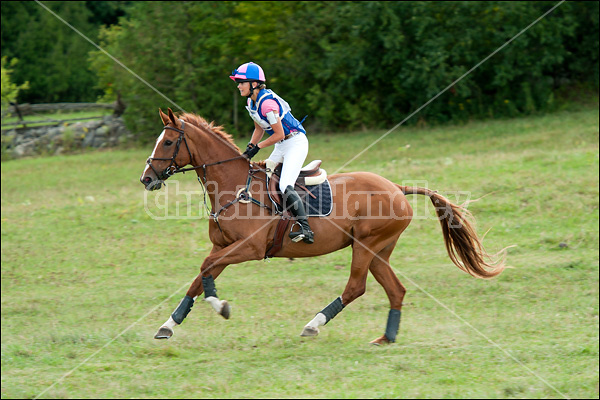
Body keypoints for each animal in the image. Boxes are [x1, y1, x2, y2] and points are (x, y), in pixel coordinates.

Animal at [141, 108, 506, 344]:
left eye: (168, 143)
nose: (147, 178)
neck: (233, 186)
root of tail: (397, 188)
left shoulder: (249, 248)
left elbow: (205, 269)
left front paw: (221, 307)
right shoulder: (223, 246)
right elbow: (199, 277)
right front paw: (168, 326)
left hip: (366, 245)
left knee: (356, 287)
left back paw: (314, 325)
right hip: (379, 250)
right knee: (395, 290)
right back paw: (386, 338)